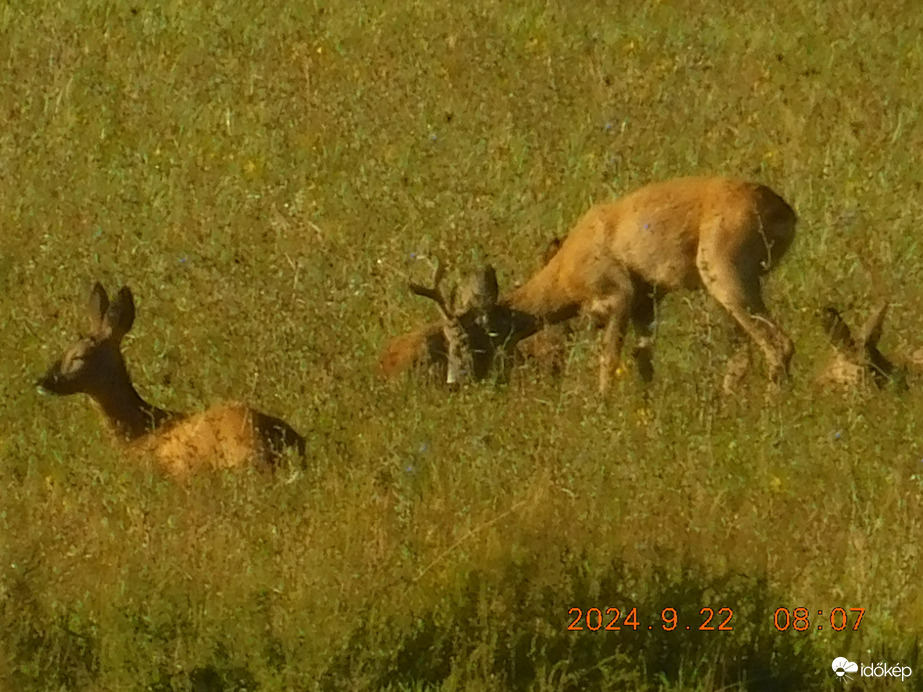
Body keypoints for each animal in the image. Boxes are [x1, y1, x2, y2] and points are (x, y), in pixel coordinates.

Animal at [378, 177, 796, 394]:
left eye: (463, 343)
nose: (455, 384)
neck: (566, 270)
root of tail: (786, 212)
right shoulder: (647, 301)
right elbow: (643, 361)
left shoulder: (619, 294)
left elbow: (608, 361)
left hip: (727, 274)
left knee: (779, 343)